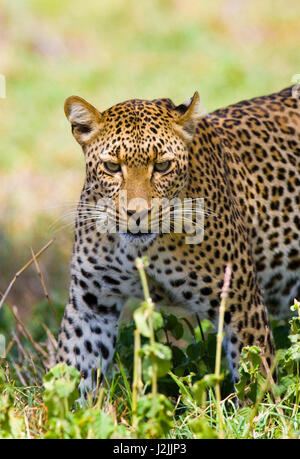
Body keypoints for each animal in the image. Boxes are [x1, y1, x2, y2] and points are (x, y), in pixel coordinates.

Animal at [56, 87, 300, 396]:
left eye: (162, 166)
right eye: (112, 166)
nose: (137, 213)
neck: (141, 249)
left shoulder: (241, 304)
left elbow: (256, 378)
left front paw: (258, 405)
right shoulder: (91, 305)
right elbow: (72, 369)